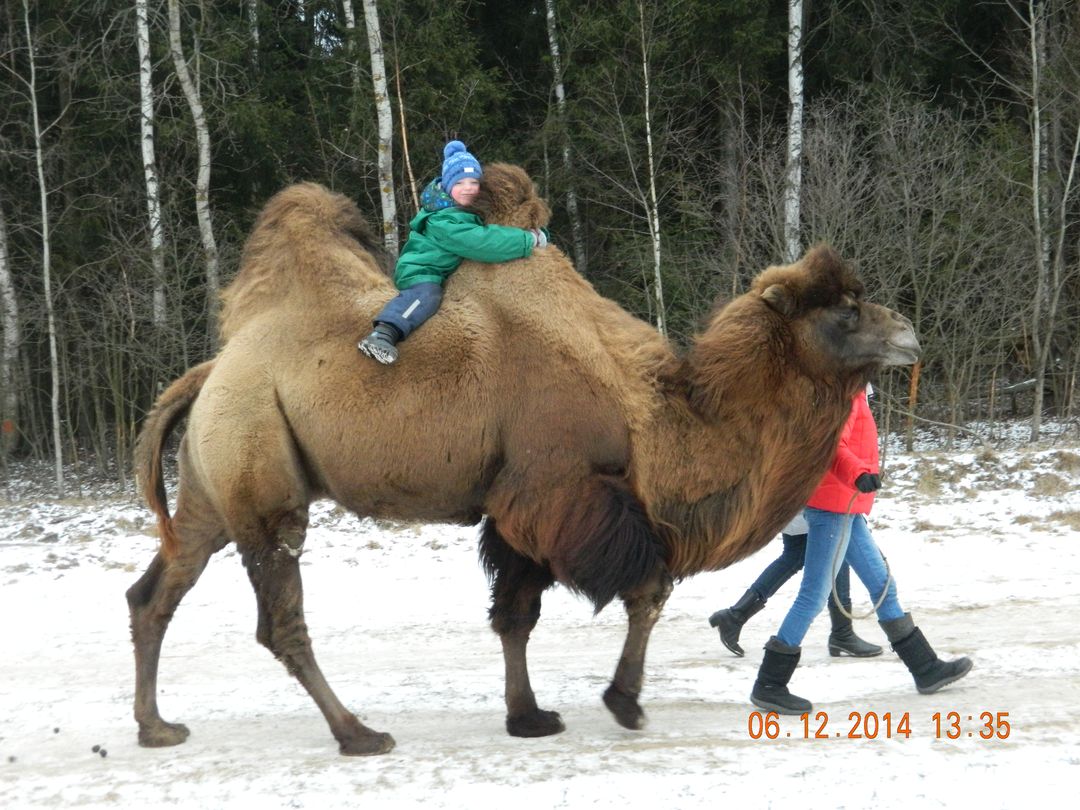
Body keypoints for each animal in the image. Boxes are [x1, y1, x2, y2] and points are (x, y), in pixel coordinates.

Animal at [128, 165, 920, 756]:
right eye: (845, 309)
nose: (909, 332)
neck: (657, 419)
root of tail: (211, 371)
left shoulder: (517, 509)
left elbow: (515, 615)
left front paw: (529, 716)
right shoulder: (558, 490)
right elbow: (646, 591)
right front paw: (624, 703)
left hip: (210, 486)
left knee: (157, 591)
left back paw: (157, 727)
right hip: (261, 469)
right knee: (279, 618)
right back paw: (358, 734)